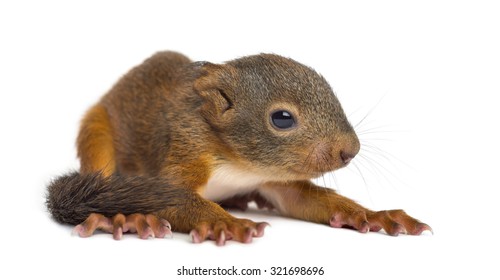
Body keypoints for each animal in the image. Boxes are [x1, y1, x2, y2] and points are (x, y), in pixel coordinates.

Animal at [45, 51, 432, 244]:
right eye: (282, 118)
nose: (350, 150)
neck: (239, 163)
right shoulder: (185, 149)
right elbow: (172, 197)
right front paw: (227, 225)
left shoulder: (275, 180)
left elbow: (304, 200)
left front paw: (374, 215)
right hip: (97, 133)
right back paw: (124, 218)